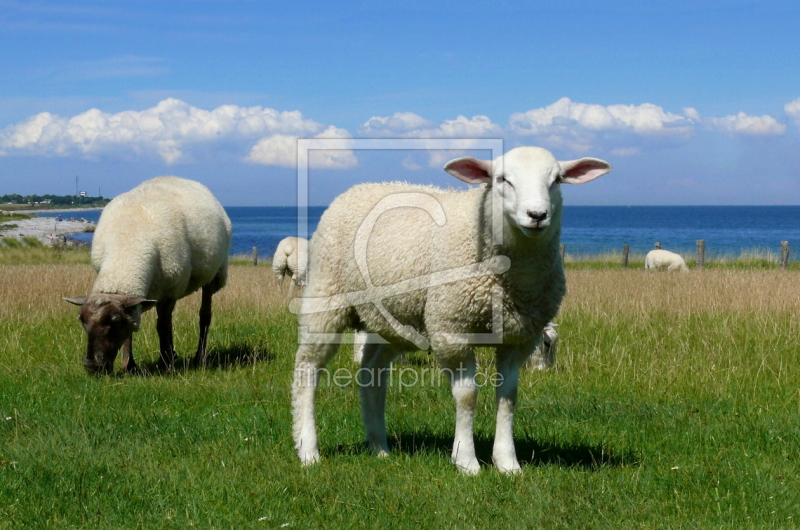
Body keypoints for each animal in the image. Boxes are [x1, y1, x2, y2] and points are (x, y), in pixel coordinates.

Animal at [65, 176, 231, 372]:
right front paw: (128, 365)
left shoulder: (169, 292)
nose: (92, 366)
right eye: (81, 320)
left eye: (115, 321)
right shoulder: (136, 298)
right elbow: (133, 330)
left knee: (204, 316)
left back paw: (198, 357)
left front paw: (166, 363)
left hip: (214, 275)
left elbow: (162, 326)